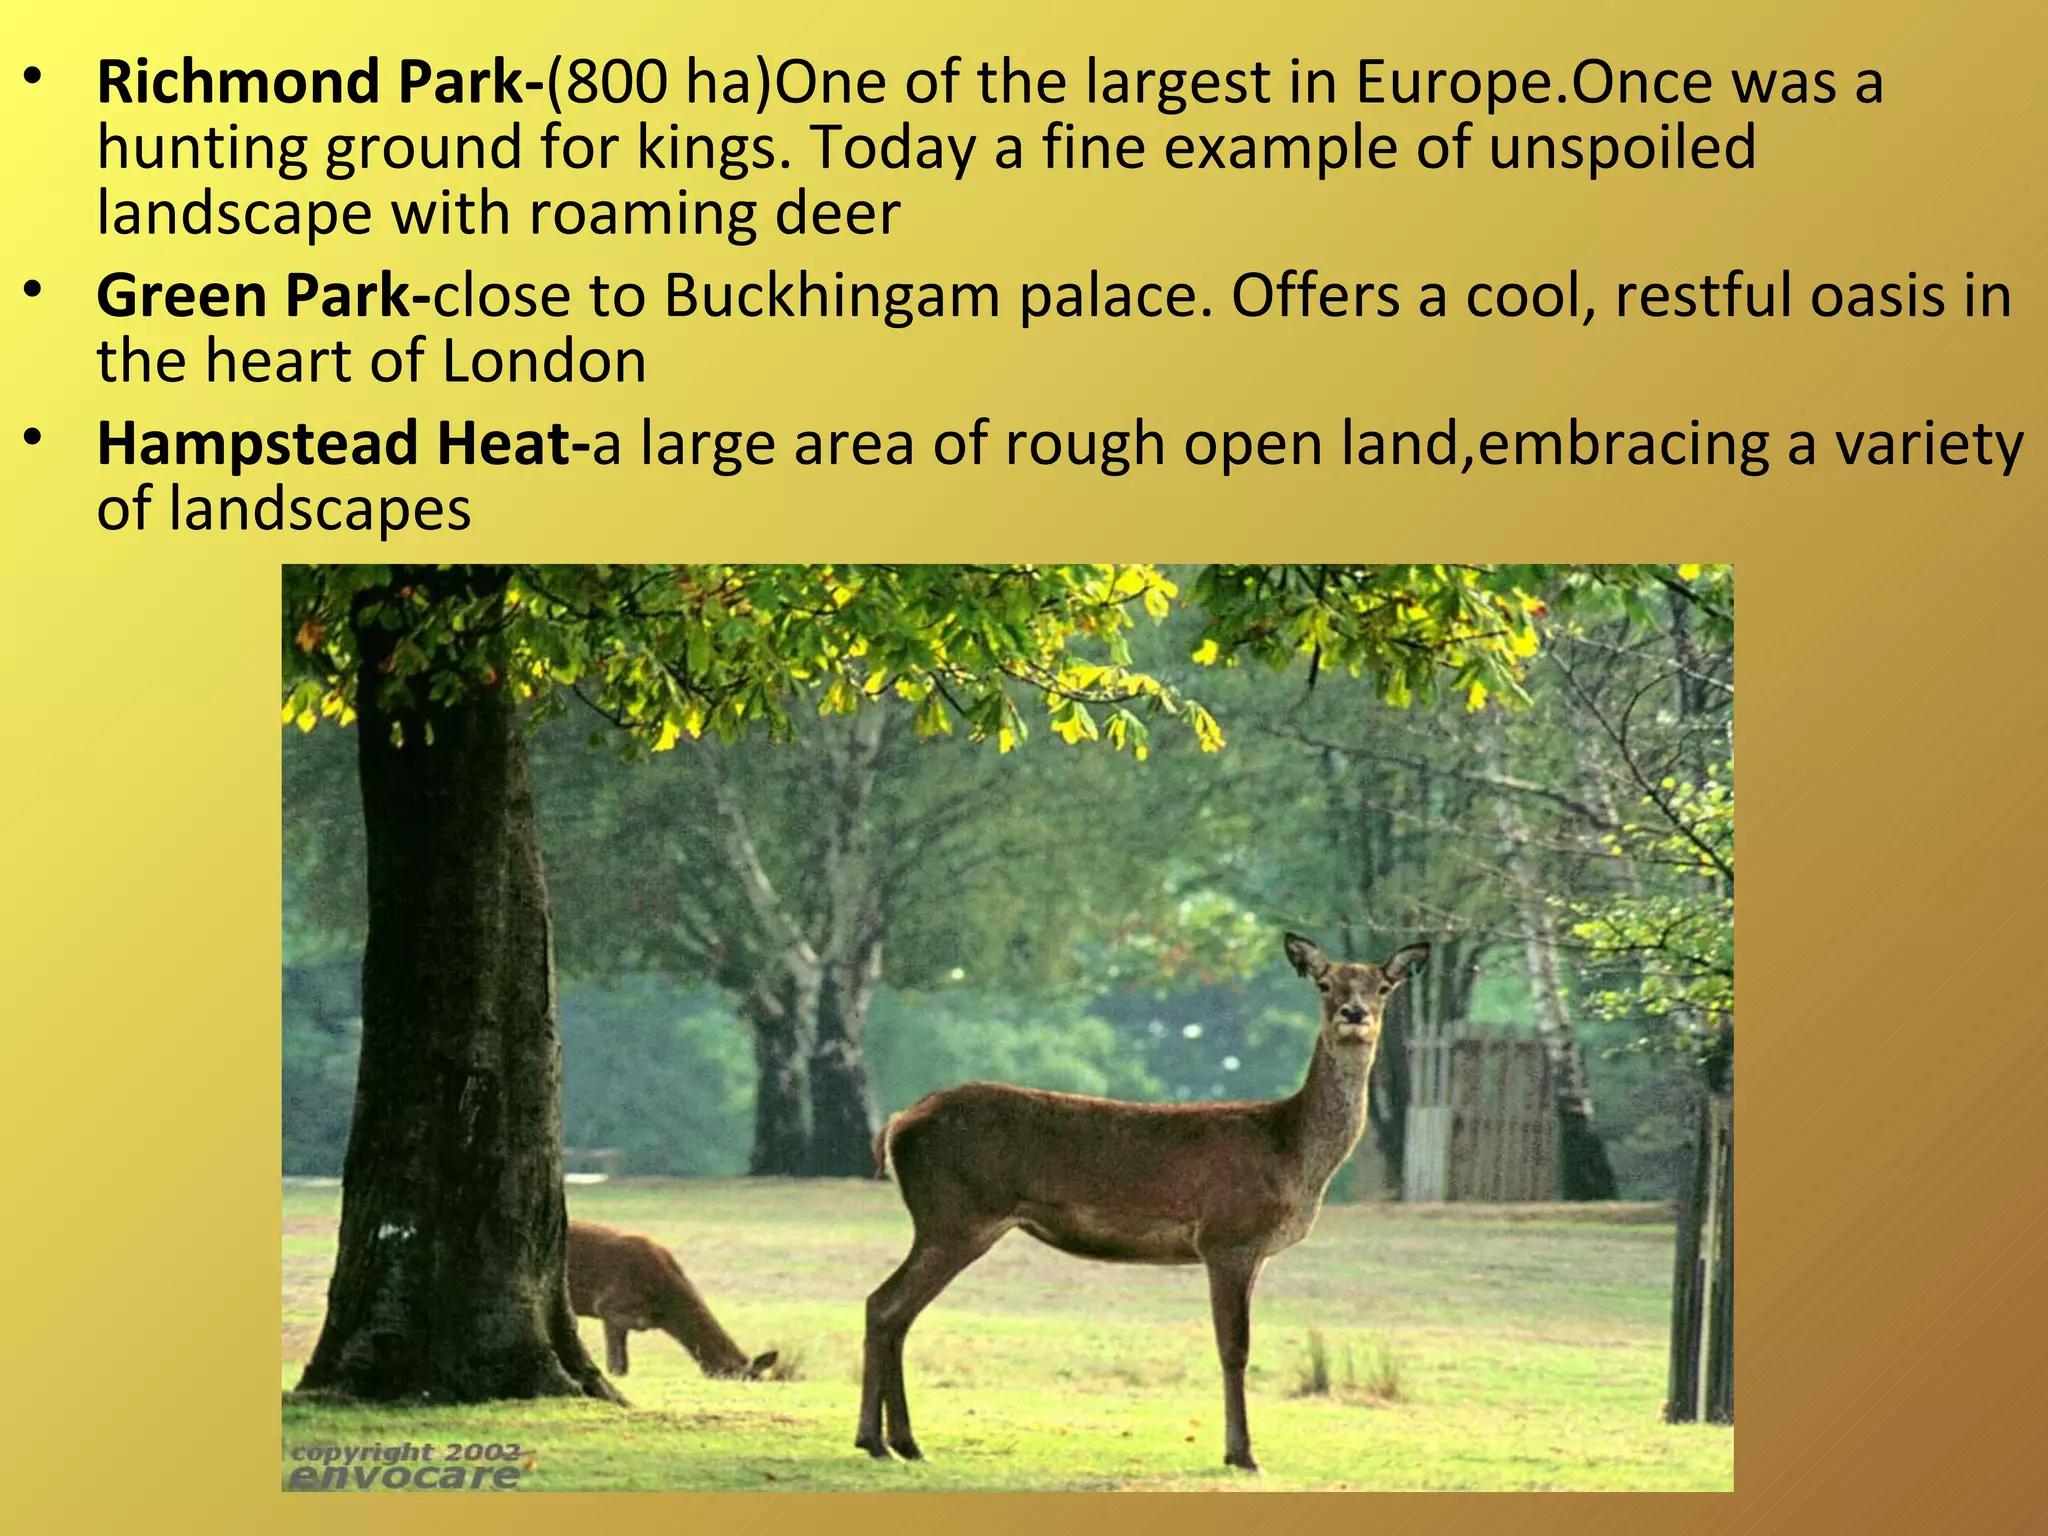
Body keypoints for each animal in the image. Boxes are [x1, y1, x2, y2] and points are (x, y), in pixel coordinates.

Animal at [856, 932, 1428, 1472]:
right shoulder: (1227, 1237)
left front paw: (1237, 1451)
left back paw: (895, 1442)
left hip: (951, 1221)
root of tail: (898, 1124)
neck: (1291, 1151)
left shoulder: (1250, 1251)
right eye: (1324, 983)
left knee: (892, 1309)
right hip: (956, 1215)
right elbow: (1234, 1348)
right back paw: (883, 1441)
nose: (1354, 1014)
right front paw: (1242, 1454)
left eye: (1383, 986)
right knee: (886, 1304)